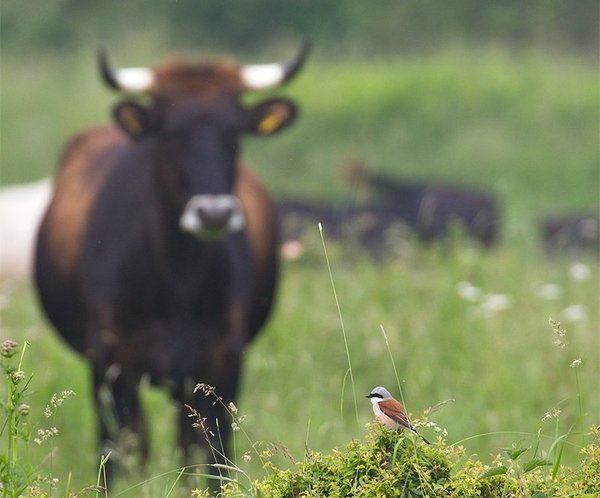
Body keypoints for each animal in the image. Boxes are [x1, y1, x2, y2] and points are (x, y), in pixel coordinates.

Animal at [34, 43, 308, 482]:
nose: (213, 213)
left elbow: (213, 454)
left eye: (234, 134)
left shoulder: (222, 360)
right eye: (170, 132)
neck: (177, 277)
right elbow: (120, 451)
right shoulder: (111, 360)